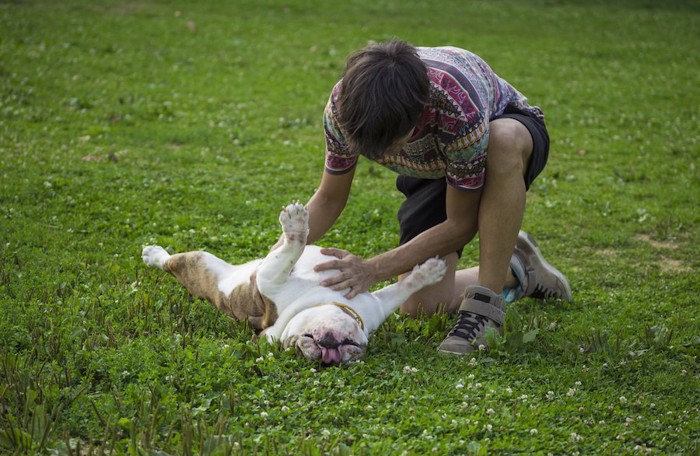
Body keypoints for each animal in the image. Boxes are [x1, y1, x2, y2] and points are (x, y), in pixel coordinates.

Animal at [143, 202, 446, 364]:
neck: (321, 300)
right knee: (171, 262)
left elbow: (402, 288)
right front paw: (297, 225)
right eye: (297, 346)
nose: (328, 356)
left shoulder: (378, 305)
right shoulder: (270, 279)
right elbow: (291, 251)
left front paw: (429, 272)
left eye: (354, 350)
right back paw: (153, 254)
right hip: (204, 264)